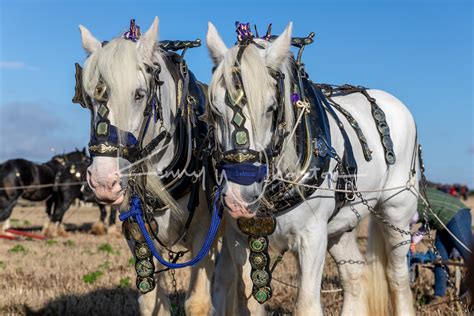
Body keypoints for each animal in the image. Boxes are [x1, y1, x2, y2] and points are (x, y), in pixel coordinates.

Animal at [78, 17, 215, 316]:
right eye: (88, 99)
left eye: (139, 95)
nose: (104, 181)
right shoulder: (137, 233)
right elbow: (152, 301)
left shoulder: (205, 233)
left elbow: (198, 302)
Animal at [207, 21, 418, 314]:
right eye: (215, 110)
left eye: (271, 108)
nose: (240, 199)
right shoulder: (239, 238)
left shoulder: (312, 237)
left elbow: (307, 304)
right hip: (342, 225)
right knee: (354, 276)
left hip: (398, 213)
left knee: (397, 278)